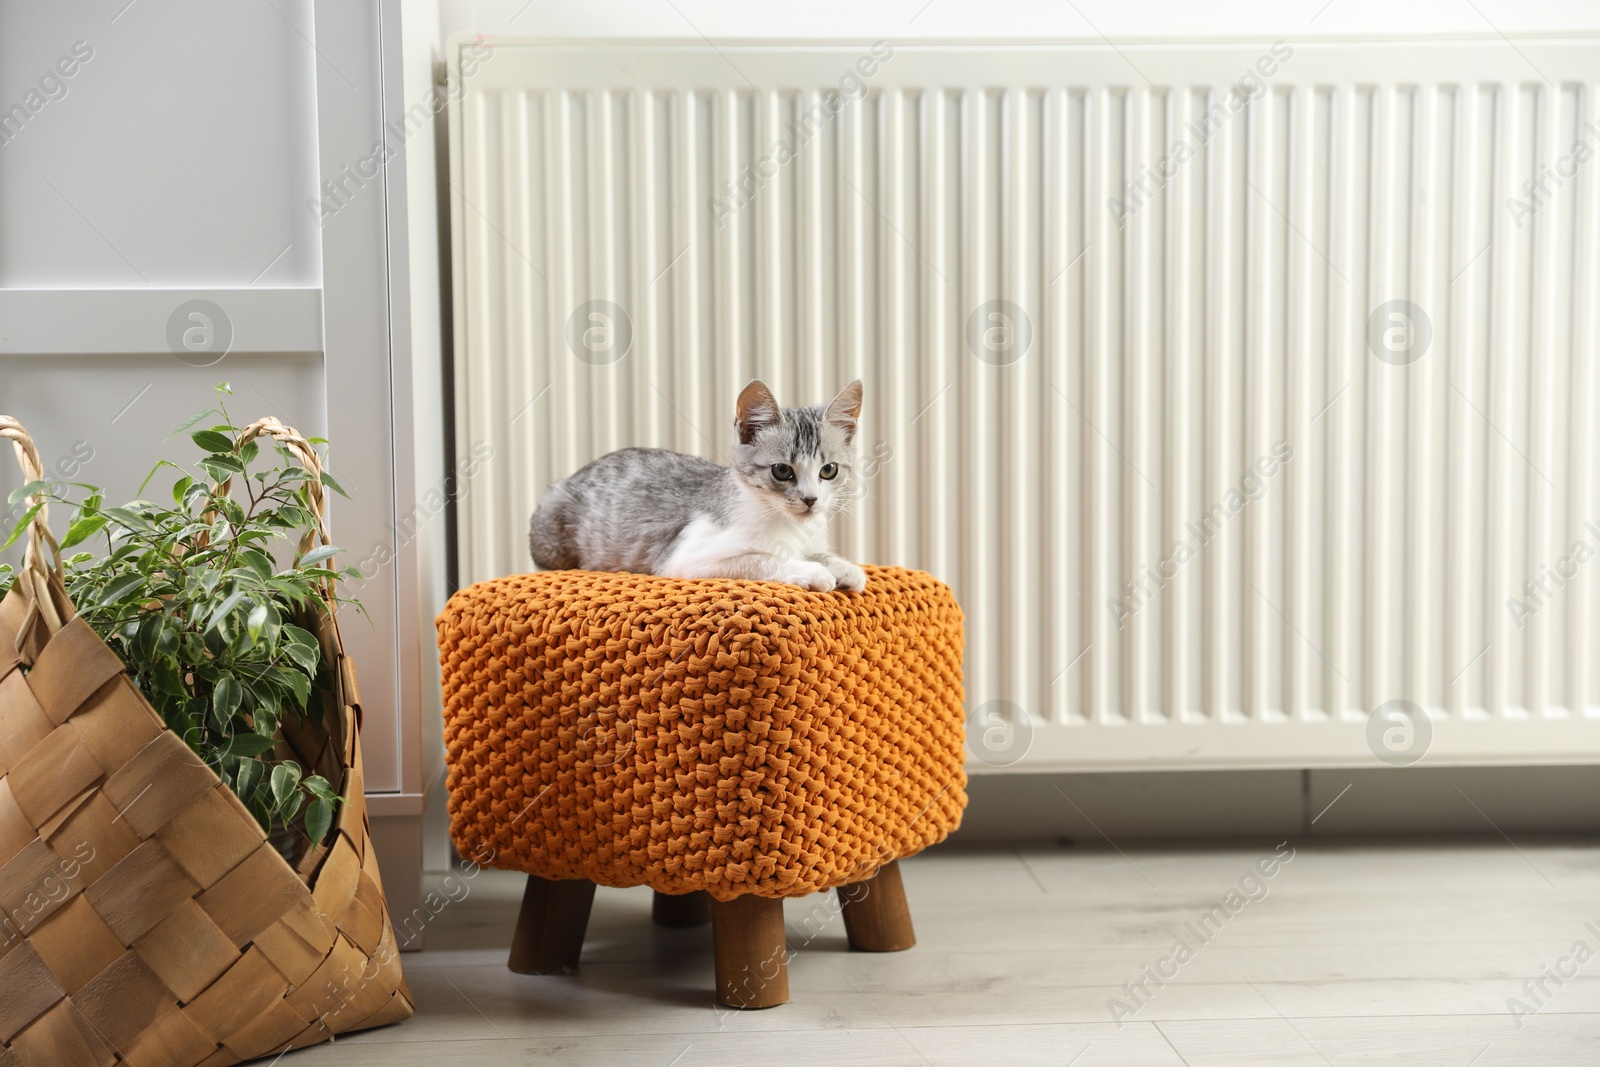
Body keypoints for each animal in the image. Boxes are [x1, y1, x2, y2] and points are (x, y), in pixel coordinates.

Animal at [531, 379, 870, 591]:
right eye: (782, 471)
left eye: (828, 470)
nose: (811, 500)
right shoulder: (684, 559)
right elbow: (758, 559)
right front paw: (810, 570)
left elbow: (816, 552)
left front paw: (841, 566)